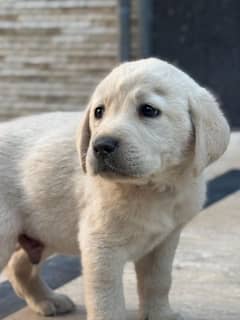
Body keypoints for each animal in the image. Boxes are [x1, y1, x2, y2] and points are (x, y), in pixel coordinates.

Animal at [0, 58, 230, 320]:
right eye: (99, 112)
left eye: (148, 110)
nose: (101, 145)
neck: (152, 188)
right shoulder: (101, 246)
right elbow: (107, 297)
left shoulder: (165, 241)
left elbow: (159, 281)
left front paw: (160, 314)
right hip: (8, 234)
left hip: (43, 232)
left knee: (18, 266)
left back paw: (47, 300)